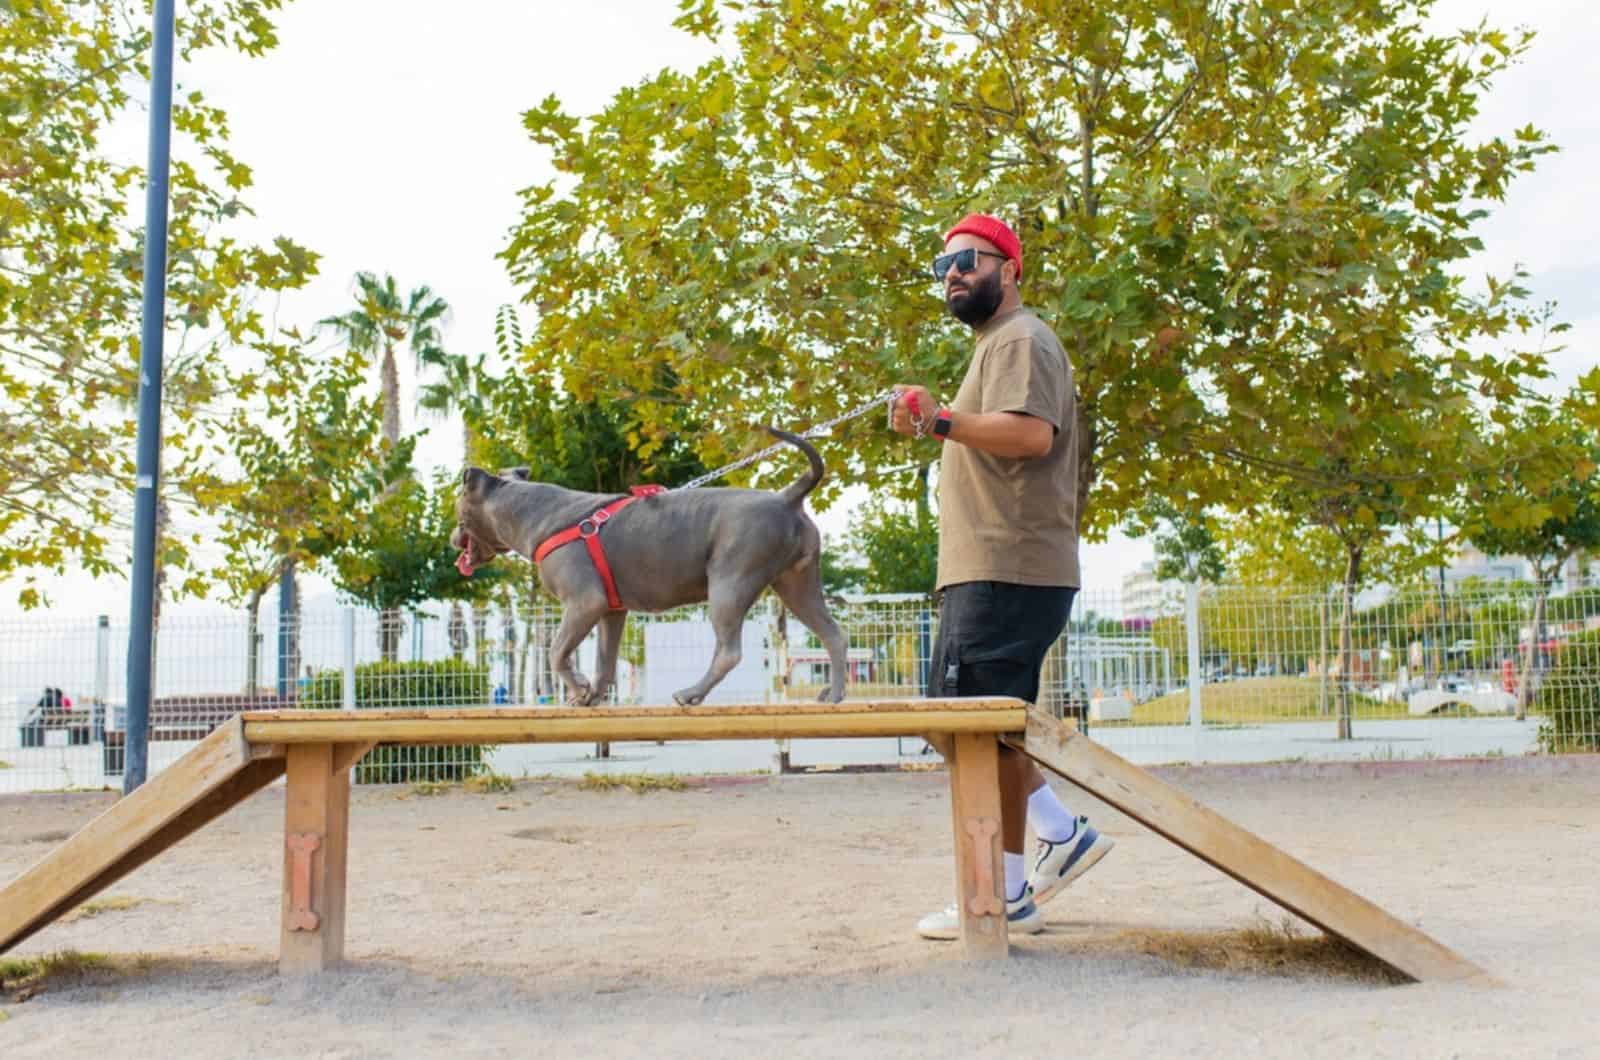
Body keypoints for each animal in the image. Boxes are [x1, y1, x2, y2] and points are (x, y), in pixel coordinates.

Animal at [451, 429, 851, 710]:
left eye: (457, 511)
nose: (454, 538)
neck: (529, 510)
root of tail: (788, 498)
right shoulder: (610, 610)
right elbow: (605, 660)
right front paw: (589, 695)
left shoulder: (583, 602)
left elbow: (556, 652)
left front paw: (578, 687)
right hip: (798, 584)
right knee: (834, 634)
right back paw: (833, 694)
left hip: (730, 581)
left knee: (728, 651)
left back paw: (690, 694)